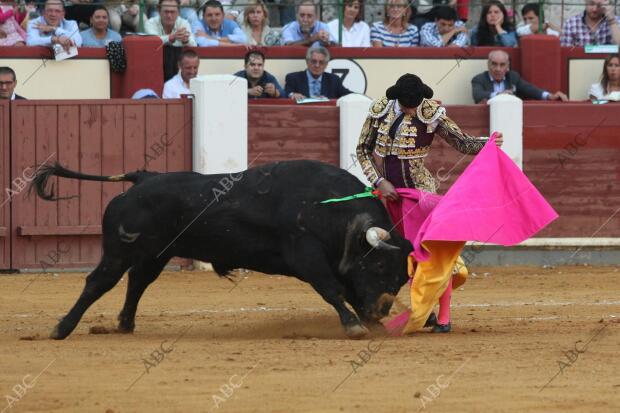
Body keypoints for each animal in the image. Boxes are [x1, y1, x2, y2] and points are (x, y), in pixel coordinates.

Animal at [31, 159, 414, 336]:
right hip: (118, 251)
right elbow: (332, 290)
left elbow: (346, 289)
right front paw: (354, 326)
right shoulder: (306, 255)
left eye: (401, 278)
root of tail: (142, 178)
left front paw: (371, 325)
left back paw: (125, 324)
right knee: (99, 283)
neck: (328, 207)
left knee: (137, 282)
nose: (382, 310)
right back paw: (62, 328)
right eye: (380, 266)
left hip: (155, 254)